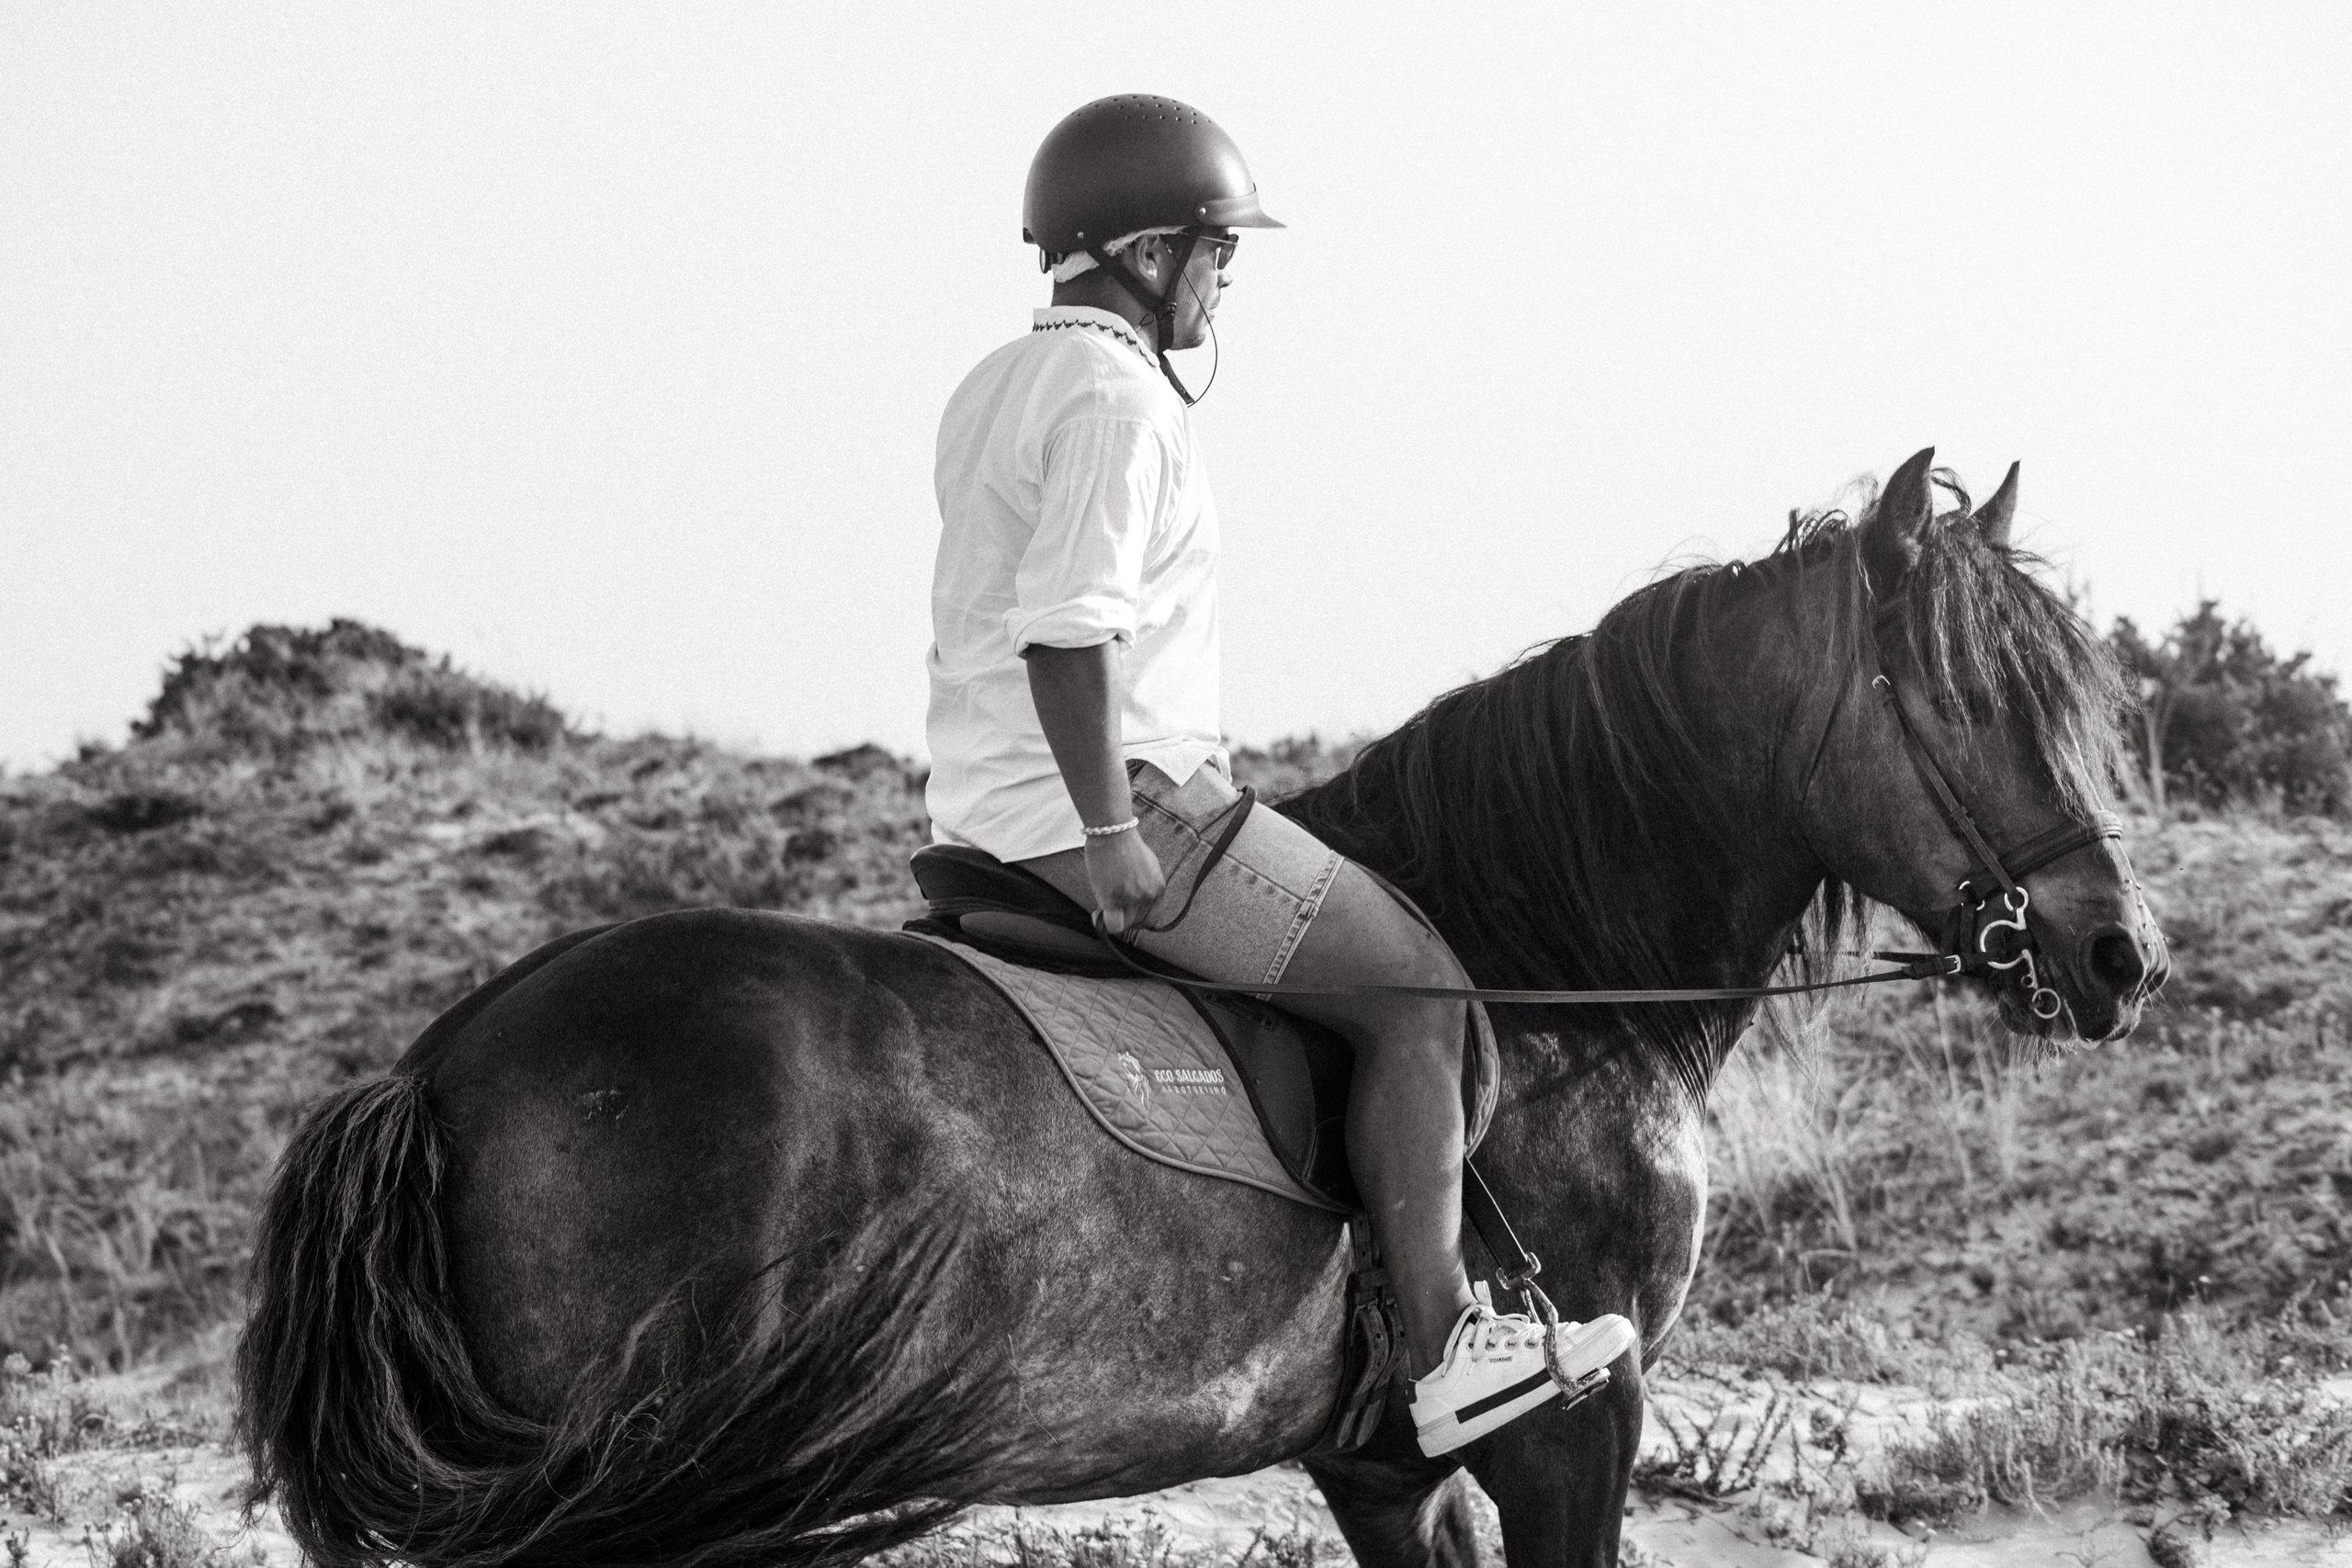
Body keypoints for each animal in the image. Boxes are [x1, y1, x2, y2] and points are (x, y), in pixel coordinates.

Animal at [236, 449, 2167, 1568]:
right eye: (1970, 696)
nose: (2116, 955)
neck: (1549, 969)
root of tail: (440, 1066)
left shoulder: (1383, 1470)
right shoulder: (1576, 1428)